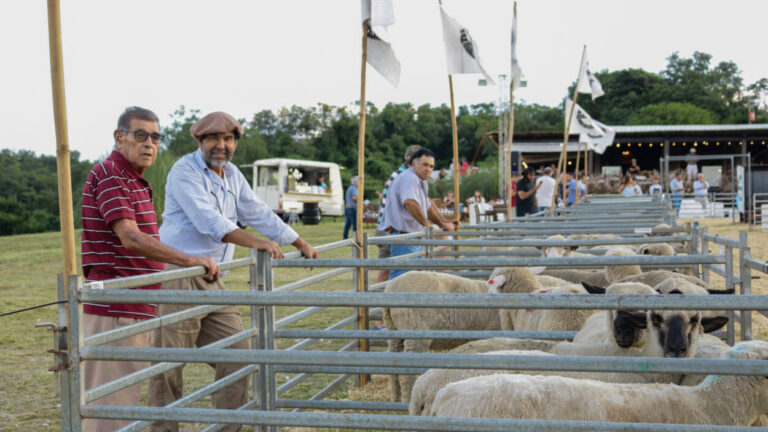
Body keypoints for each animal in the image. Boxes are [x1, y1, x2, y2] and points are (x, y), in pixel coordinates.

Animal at [382, 270, 500, 402]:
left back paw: (395, 400)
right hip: (415, 330)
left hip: (394, 331)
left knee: (393, 369)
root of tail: (392, 288)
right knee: (406, 374)